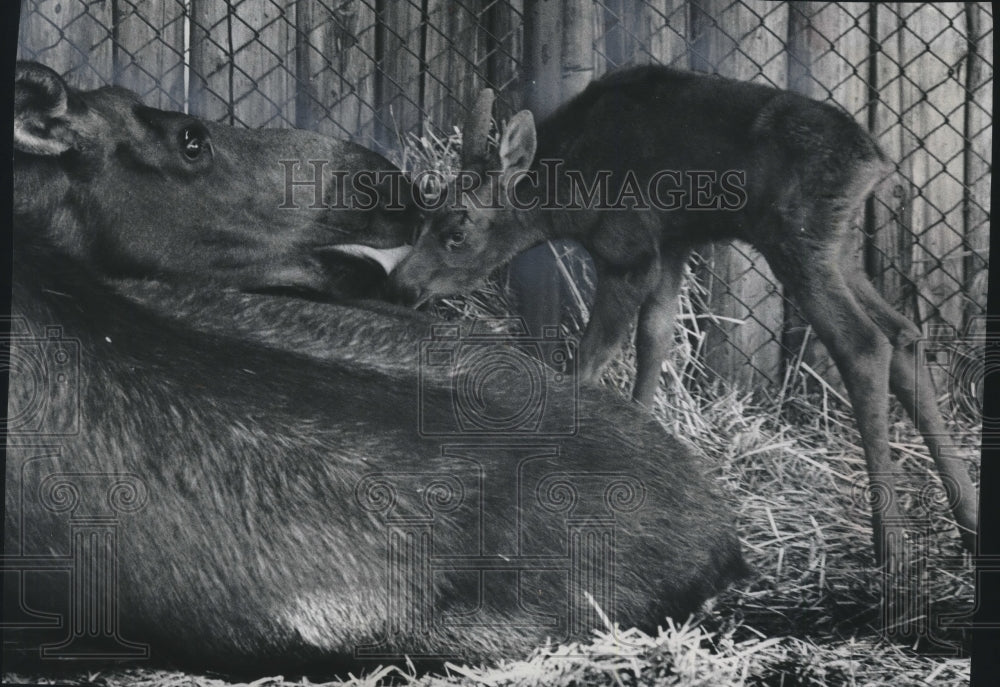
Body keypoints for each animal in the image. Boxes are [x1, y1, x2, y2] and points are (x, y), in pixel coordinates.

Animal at [387, 65, 979, 565]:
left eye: (455, 231)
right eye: (425, 214)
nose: (403, 284)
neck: (566, 193)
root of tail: (875, 163)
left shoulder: (627, 251)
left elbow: (591, 358)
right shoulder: (671, 246)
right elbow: (654, 343)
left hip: (799, 242)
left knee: (863, 345)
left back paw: (891, 544)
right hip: (840, 248)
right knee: (904, 333)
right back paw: (969, 520)